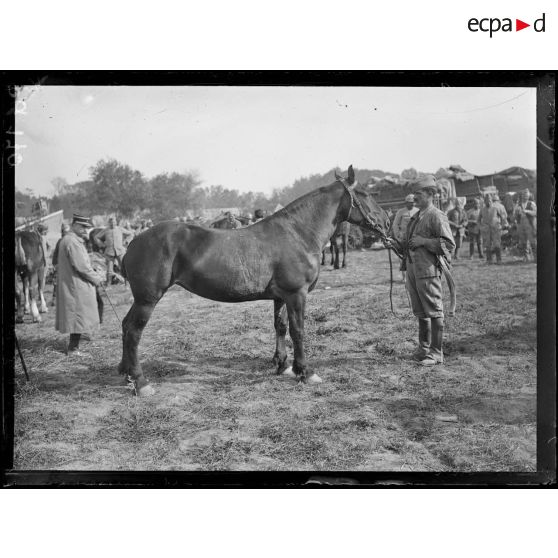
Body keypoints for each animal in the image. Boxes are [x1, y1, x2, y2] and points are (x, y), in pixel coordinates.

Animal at [119, 166, 390, 398]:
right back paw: (140, 382)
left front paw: (283, 365)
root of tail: (133, 242)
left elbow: (281, 327)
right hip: (147, 300)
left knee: (125, 325)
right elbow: (298, 330)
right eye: (366, 194)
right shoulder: (297, 294)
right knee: (133, 331)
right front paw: (305, 371)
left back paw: (125, 373)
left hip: (140, 299)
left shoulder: (282, 296)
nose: (387, 222)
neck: (297, 233)